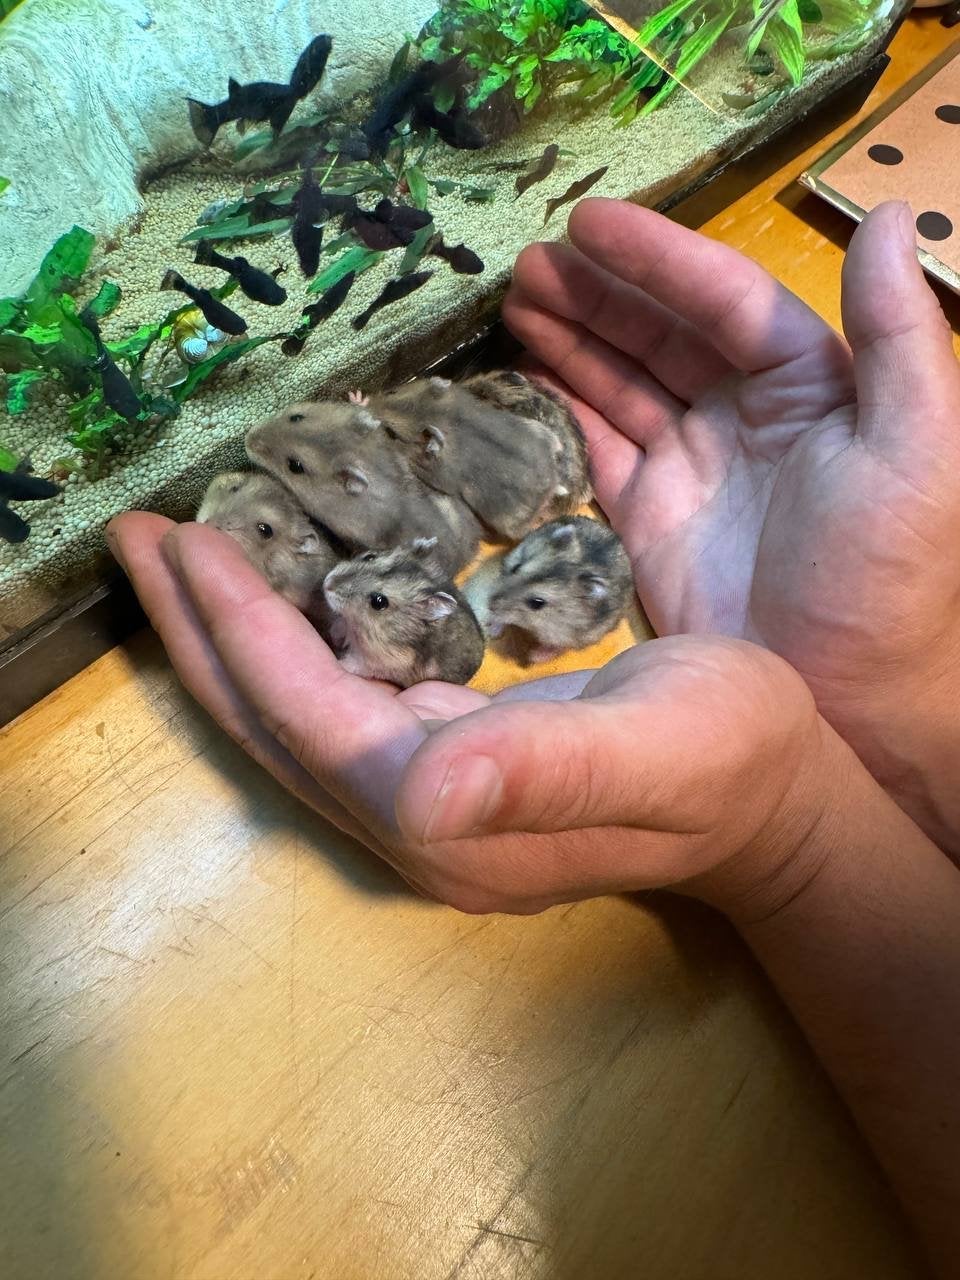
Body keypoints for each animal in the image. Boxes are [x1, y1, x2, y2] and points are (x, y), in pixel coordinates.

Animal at [322, 538, 485, 687]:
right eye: (369, 557)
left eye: (379, 602)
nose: (327, 583)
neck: (360, 626)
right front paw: (334, 633)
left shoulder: (379, 663)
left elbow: (354, 665)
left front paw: (339, 661)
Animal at [370, 375, 564, 541]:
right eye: (392, 391)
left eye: (391, 433)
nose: (369, 406)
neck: (437, 415)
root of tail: (553, 483)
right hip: (542, 431)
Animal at [486, 516, 633, 662]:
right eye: (516, 568)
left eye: (536, 603)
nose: (490, 605)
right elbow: (503, 618)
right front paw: (492, 631)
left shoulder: (566, 637)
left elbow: (557, 648)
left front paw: (533, 656)